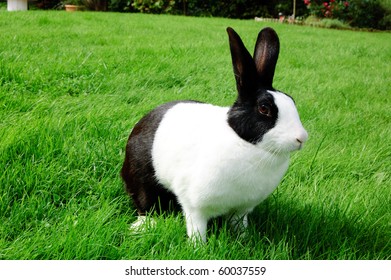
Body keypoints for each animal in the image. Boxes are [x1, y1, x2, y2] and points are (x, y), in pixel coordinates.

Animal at [122, 26, 310, 242]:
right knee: (146, 204)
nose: (301, 138)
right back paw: (142, 226)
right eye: (264, 109)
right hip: (143, 179)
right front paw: (198, 246)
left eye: (292, 101)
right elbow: (197, 229)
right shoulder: (195, 207)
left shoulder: (242, 209)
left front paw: (244, 240)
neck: (246, 144)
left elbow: (239, 225)